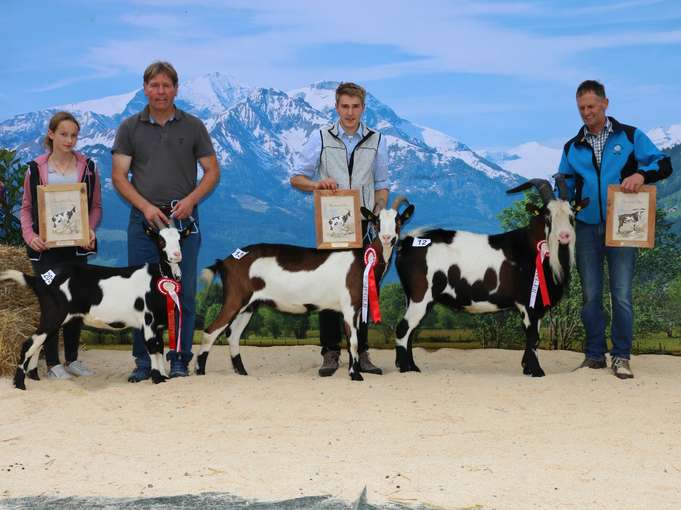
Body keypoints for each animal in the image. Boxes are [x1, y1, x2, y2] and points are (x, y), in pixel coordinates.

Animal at [0, 224, 191, 390]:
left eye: (180, 240)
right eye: (161, 241)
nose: (176, 254)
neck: (158, 278)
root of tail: (40, 280)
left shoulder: (158, 323)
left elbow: (159, 348)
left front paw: (164, 377)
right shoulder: (148, 320)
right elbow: (152, 348)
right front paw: (157, 379)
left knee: (39, 343)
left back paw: (34, 377)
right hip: (54, 314)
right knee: (28, 343)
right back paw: (20, 384)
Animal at [194, 197, 412, 380]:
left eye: (398, 221)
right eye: (377, 221)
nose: (387, 238)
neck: (362, 260)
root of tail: (225, 261)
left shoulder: (358, 307)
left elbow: (356, 339)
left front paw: (356, 370)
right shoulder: (349, 306)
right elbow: (353, 341)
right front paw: (355, 375)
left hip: (249, 306)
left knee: (233, 336)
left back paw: (242, 372)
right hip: (235, 299)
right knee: (210, 331)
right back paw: (200, 371)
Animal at [396, 177, 588, 376]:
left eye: (572, 214)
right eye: (548, 215)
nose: (565, 236)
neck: (532, 248)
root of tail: (407, 242)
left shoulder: (537, 305)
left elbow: (533, 337)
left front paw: (527, 368)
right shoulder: (527, 303)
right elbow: (533, 337)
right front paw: (536, 371)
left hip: (411, 297)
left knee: (409, 330)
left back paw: (409, 367)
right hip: (421, 296)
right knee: (403, 328)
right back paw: (408, 368)